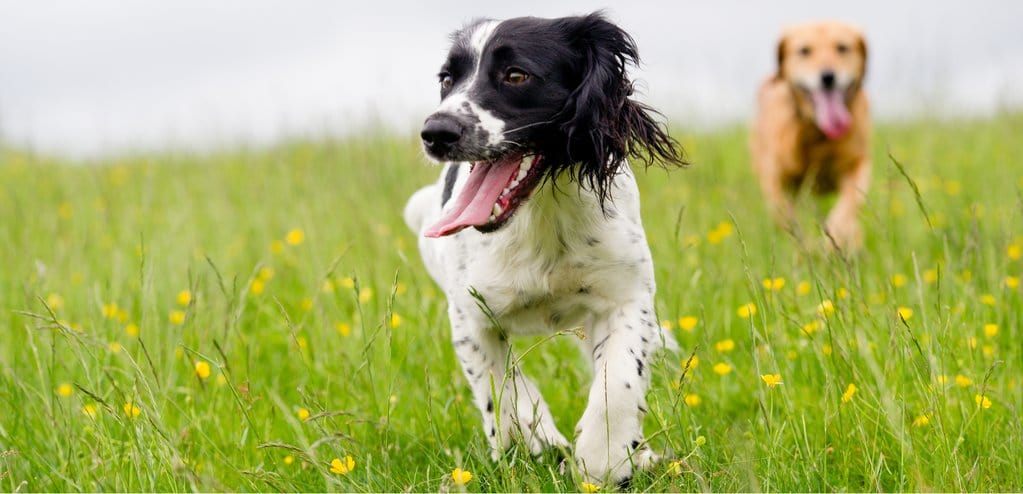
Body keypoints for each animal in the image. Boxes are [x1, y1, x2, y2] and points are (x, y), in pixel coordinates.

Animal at [403, 12, 683, 482]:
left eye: (516, 75)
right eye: (446, 79)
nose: (436, 132)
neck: (541, 214)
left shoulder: (627, 295)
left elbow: (618, 381)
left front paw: (604, 458)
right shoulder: (470, 318)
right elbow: (502, 389)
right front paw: (537, 441)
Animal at [752, 21, 871, 251]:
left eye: (842, 47)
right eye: (804, 50)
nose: (828, 77)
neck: (818, 135)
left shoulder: (857, 164)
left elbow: (845, 210)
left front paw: (832, 244)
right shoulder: (776, 182)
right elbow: (789, 223)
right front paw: (806, 247)